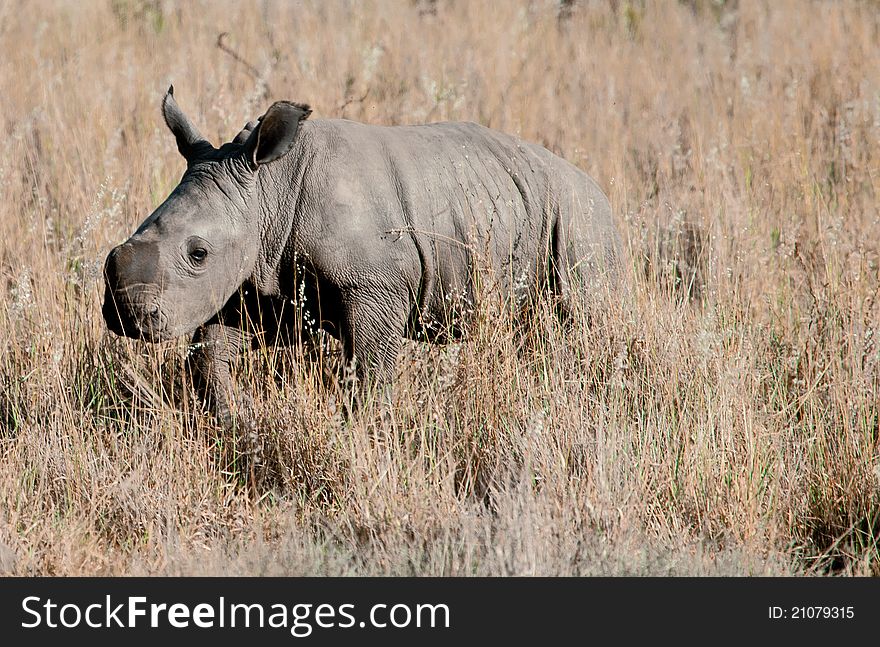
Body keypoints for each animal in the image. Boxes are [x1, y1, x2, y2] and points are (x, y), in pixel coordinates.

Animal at [103, 87, 624, 430]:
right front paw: (237, 423)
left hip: (582, 218)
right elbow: (211, 353)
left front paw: (357, 432)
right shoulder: (256, 275)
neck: (268, 187)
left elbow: (370, 369)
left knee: (582, 314)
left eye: (198, 253)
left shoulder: (375, 284)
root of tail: (597, 186)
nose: (124, 314)